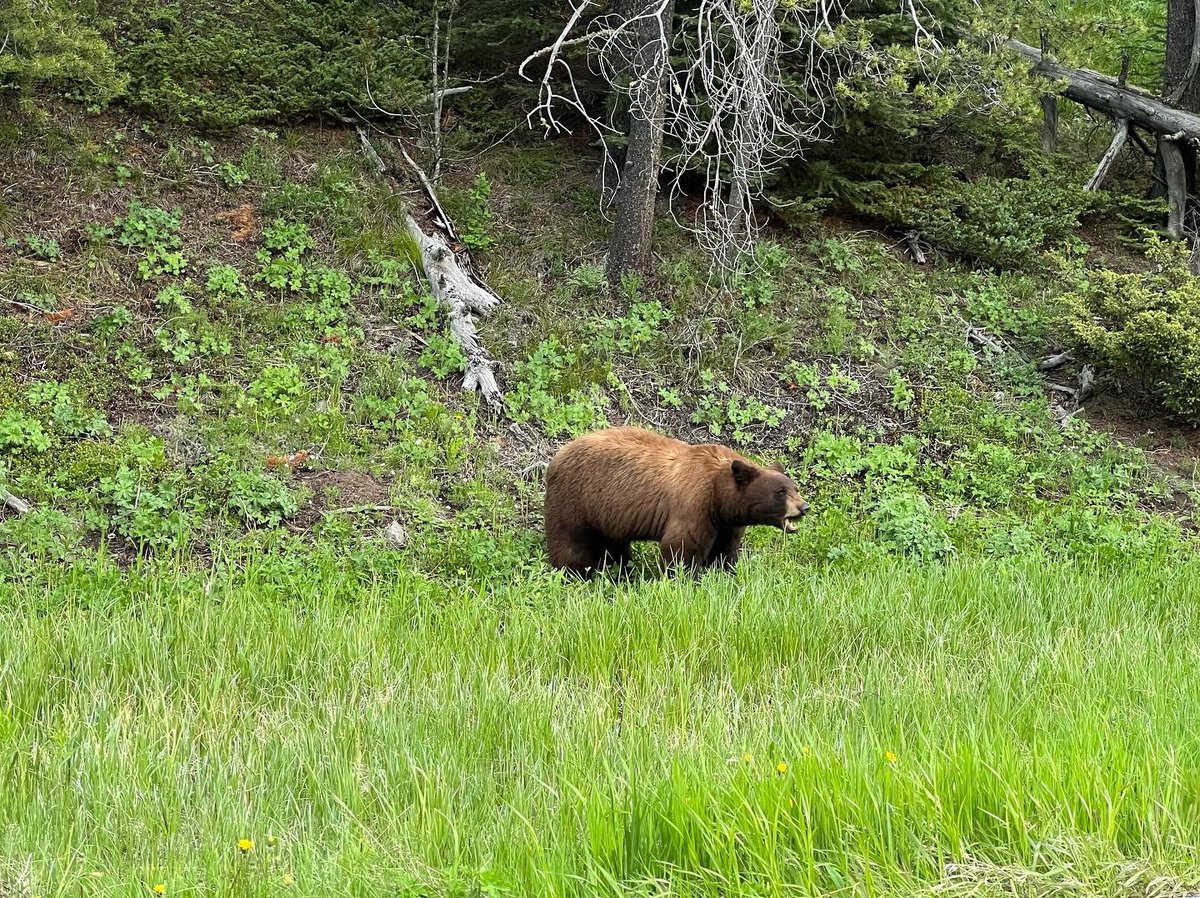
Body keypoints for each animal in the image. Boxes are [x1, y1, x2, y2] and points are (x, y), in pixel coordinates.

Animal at [543, 425, 809, 578]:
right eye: (780, 492)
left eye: (794, 488)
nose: (804, 507)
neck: (719, 494)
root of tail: (555, 458)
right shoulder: (694, 505)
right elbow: (681, 549)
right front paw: (686, 578)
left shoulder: (726, 523)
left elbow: (724, 551)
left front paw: (724, 573)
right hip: (575, 502)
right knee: (571, 545)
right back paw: (576, 575)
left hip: (607, 515)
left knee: (615, 546)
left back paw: (622, 571)